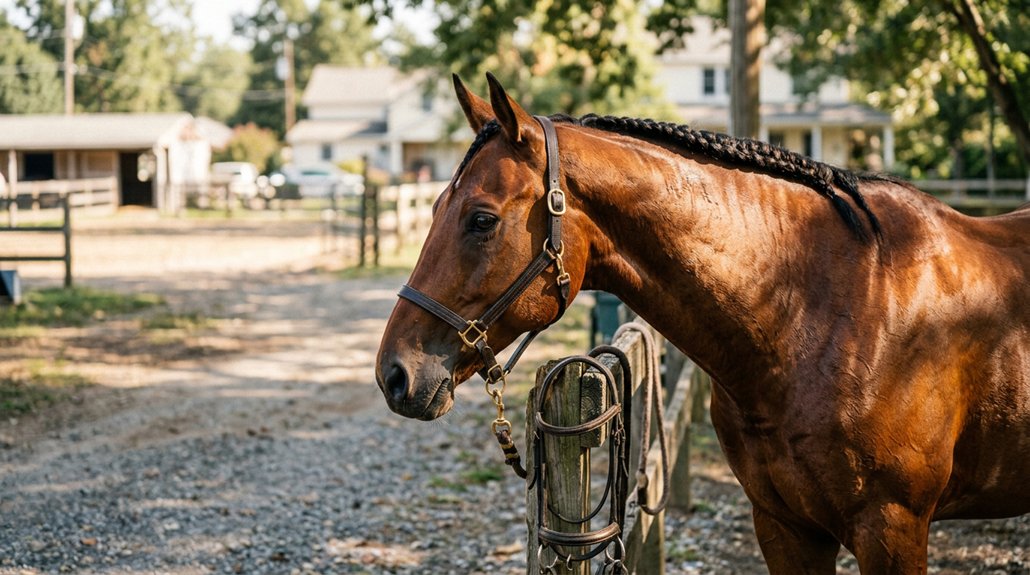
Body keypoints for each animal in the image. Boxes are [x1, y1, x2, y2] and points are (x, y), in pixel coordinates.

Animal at [375, 73, 1030, 574]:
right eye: (432, 207)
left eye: (482, 219)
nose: (394, 374)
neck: (828, 309)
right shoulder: (784, 526)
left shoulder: (892, 528)